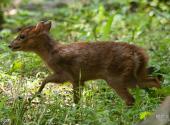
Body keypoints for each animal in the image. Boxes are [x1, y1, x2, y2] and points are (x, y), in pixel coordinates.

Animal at [8, 21, 161, 106]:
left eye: (22, 36)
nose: (10, 45)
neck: (51, 54)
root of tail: (138, 53)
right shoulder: (78, 79)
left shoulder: (67, 74)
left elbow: (45, 80)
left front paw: (35, 96)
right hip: (134, 75)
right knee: (155, 79)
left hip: (116, 77)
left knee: (131, 99)